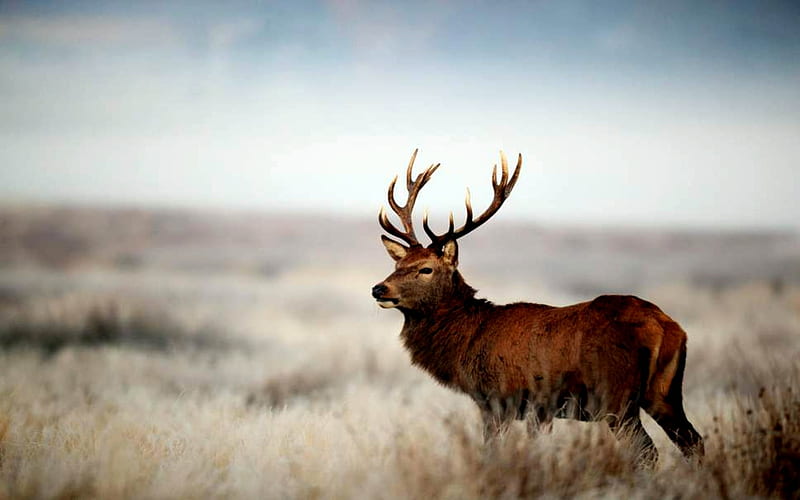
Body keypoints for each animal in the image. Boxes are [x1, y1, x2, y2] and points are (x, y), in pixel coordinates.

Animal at [372, 150, 704, 466]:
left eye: (425, 269)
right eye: (398, 264)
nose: (379, 288)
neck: (468, 340)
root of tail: (667, 326)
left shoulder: (500, 399)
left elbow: (493, 451)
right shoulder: (539, 410)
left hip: (617, 395)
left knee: (648, 451)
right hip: (665, 393)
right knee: (693, 441)